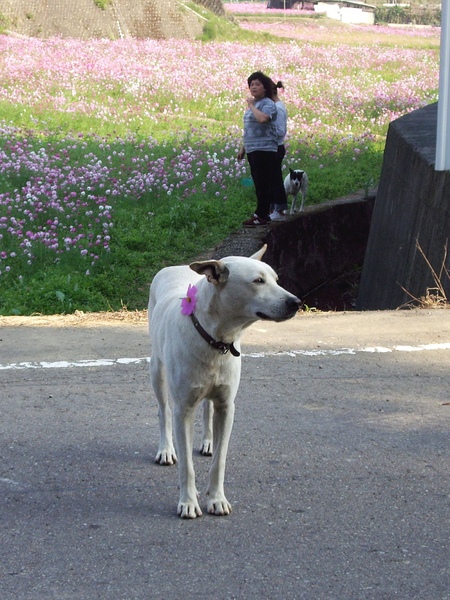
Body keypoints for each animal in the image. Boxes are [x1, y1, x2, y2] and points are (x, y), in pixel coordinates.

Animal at [149, 246, 300, 516]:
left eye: (276, 280)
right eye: (258, 281)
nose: (296, 302)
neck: (215, 337)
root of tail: (175, 267)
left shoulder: (227, 405)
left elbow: (220, 460)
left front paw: (217, 498)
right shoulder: (183, 410)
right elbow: (186, 465)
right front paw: (188, 502)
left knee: (207, 409)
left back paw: (208, 442)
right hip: (157, 370)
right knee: (163, 410)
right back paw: (165, 449)